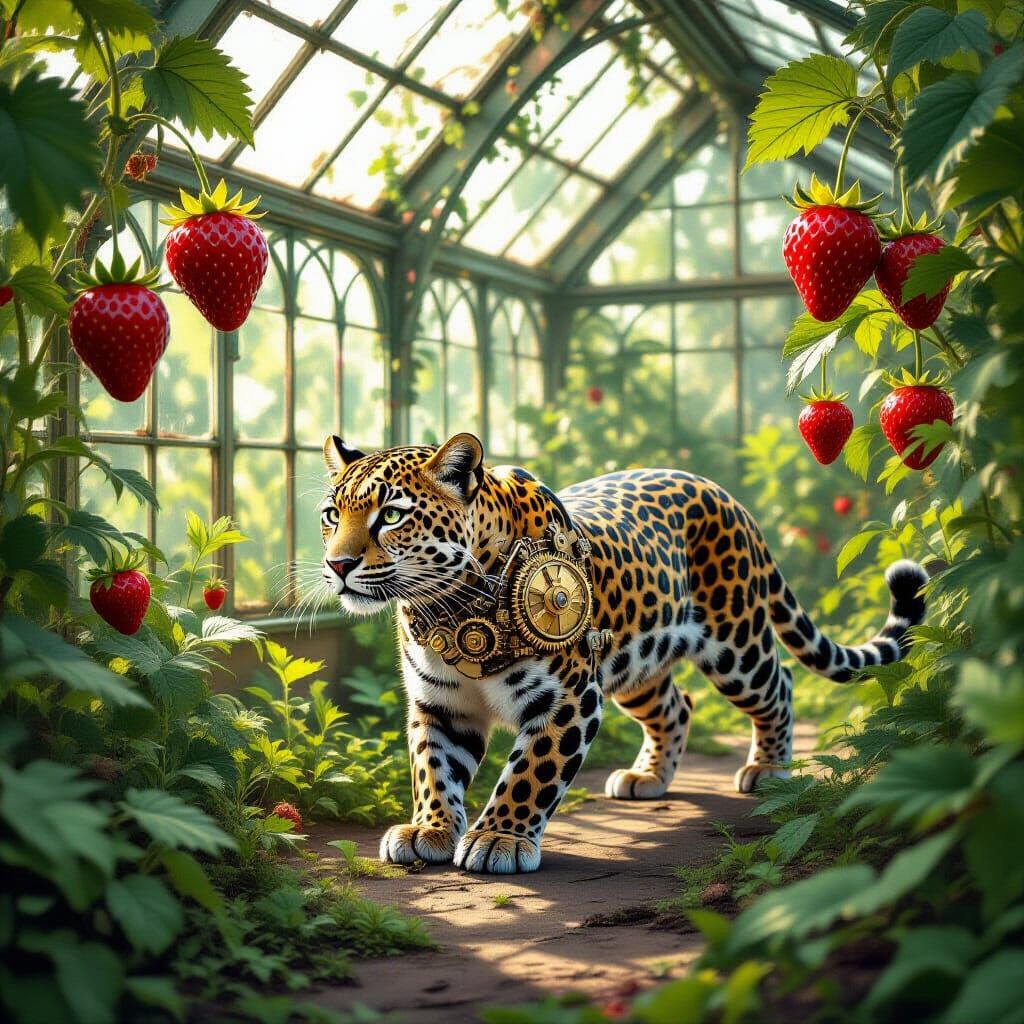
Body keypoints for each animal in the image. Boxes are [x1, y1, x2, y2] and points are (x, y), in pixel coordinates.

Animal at [318, 431, 927, 875]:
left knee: (779, 685)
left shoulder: (566, 698)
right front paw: (430, 829)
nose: (337, 564)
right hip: (638, 665)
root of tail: (723, 492)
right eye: (331, 515)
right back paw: (647, 777)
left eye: (391, 516)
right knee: (677, 706)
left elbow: (529, 773)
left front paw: (499, 839)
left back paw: (769, 769)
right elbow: (432, 769)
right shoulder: (441, 704)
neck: (446, 606)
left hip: (737, 644)